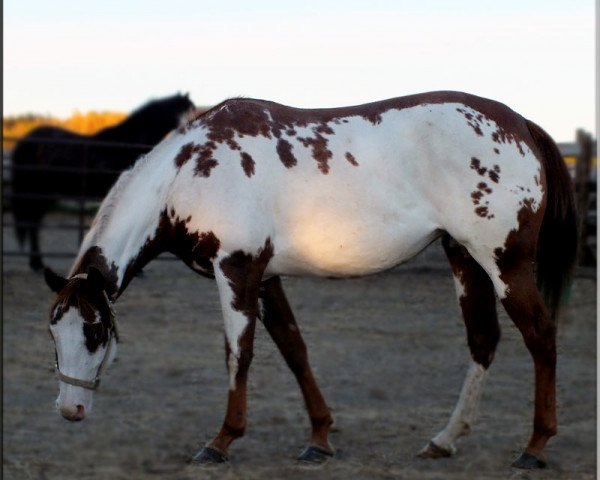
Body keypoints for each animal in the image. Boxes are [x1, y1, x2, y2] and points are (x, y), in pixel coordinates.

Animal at [44, 90, 580, 468]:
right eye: (54, 333)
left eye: (95, 332)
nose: (70, 410)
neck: (190, 174)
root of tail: (521, 125)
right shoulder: (265, 278)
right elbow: (293, 348)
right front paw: (319, 438)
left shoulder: (236, 270)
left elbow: (239, 355)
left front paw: (221, 441)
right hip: (464, 256)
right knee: (483, 339)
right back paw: (444, 440)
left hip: (504, 262)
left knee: (540, 335)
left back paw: (535, 447)